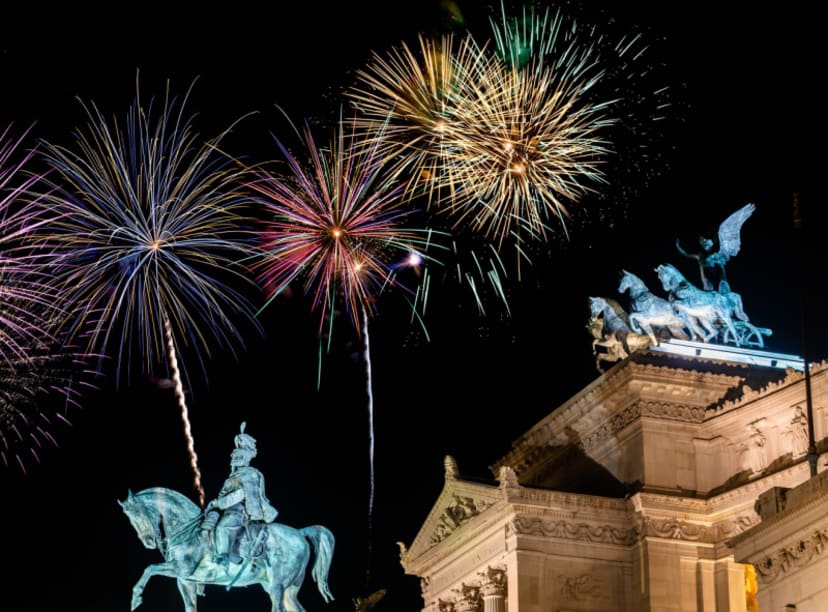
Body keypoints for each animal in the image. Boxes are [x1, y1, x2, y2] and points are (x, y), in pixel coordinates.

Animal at [119, 488, 334, 612]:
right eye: (129, 518)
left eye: (139, 513)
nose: (148, 542)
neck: (189, 530)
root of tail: (299, 533)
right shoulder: (185, 581)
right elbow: (189, 606)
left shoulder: (181, 568)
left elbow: (150, 568)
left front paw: (136, 598)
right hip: (287, 590)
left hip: (277, 586)